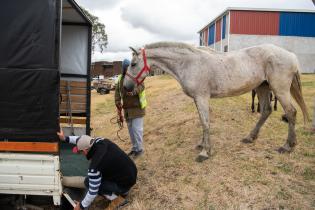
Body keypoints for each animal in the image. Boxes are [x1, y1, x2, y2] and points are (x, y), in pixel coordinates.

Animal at [123, 41, 308, 162]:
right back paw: (250, 137)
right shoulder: (198, 99)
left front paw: (205, 152)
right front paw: (202, 145)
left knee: (291, 113)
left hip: (280, 90)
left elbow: (205, 123)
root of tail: (290, 55)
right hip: (262, 87)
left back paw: (288, 146)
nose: (126, 86)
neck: (189, 63)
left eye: (133, 64)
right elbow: (202, 121)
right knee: (266, 111)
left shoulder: (202, 97)